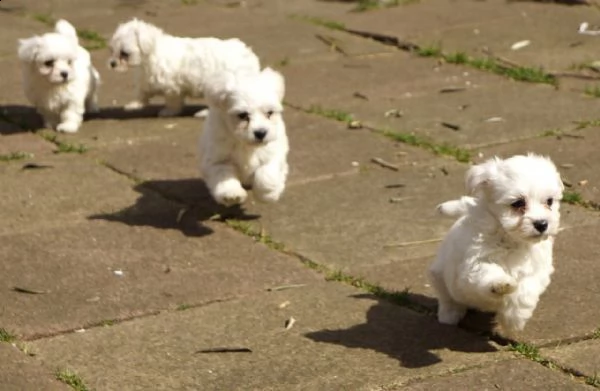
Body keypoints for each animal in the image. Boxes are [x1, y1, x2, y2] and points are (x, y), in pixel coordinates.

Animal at [108, 19, 260, 118]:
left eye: (124, 54)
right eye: (112, 51)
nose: (112, 63)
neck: (152, 52)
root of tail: (248, 54)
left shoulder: (171, 86)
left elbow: (172, 100)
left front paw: (169, 111)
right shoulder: (147, 79)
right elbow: (142, 93)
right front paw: (134, 105)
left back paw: (203, 113)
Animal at [199, 67, 288, 208]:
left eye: (269, 113)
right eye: (242, 115)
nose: (261, 132)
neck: (245, 145)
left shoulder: (274, 152)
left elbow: (266, 174)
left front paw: (268, 194)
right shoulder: (217, 160)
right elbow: (224, 176)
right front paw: (231, 195)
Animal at [432, 155, 564, 336]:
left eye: (549, 201)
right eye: (518, 203)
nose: (542, 224)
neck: (511, 239)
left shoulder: (539, 269)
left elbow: (525, 291)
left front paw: (513, 320)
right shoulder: (473, 263)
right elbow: (488, 272)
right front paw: (501, 285)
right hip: (439, 274)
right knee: (447, 297)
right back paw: (449, 315)